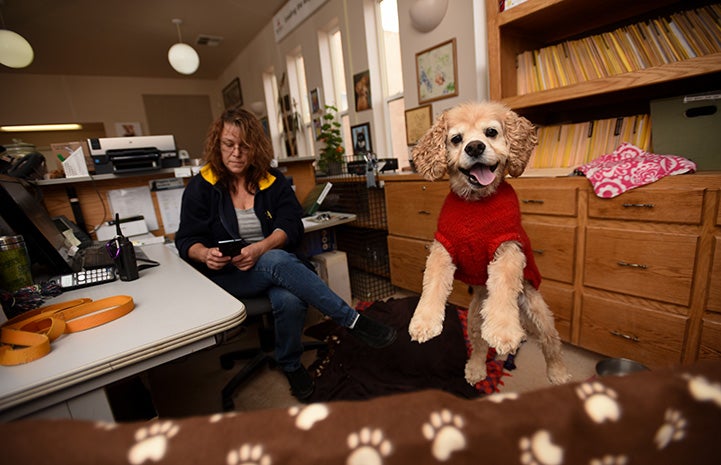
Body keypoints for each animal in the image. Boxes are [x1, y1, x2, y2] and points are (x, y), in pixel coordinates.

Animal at [408, 101, 572, 384]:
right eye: (456, 139)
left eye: (491, 132)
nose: (474, 147)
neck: (477, 202)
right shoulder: (444, 247)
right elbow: (433, 281)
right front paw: (424, 321)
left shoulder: (507, 247)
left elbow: (504, 285)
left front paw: (504, 332)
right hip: (474, 319)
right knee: (479, 345)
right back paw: (476, 369)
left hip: (539, 313)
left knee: (552, 343)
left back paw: (558, 373)